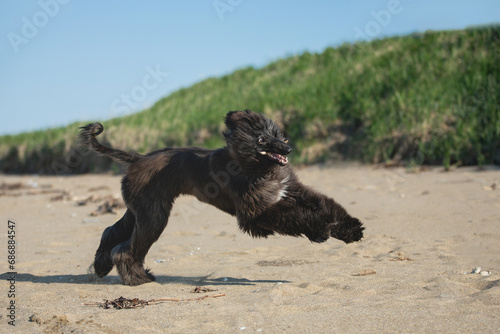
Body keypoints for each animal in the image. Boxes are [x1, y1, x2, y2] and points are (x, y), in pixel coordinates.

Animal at [81, 109, 364, 284]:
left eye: (276, 133)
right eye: (261, 139)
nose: (288, 149)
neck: (256, 167)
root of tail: (138, 158)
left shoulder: (291, 190)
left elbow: (323, 204)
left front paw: (349, 228)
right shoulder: (255, 212)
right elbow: (298, 216)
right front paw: (321, 229)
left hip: (140, 209)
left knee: (111, 232)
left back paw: (102, 266)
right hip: (153, 214)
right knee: (125, 249)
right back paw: (136, 279)